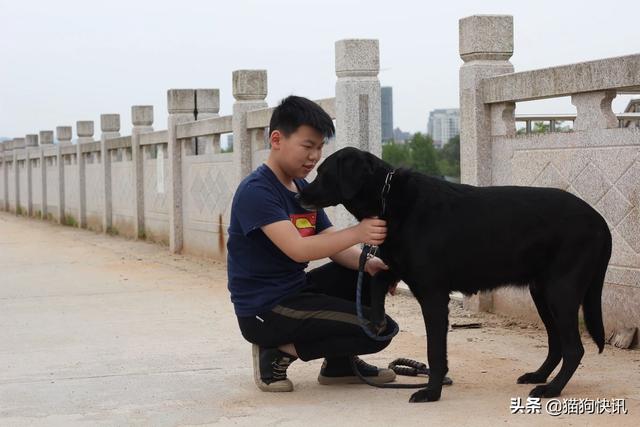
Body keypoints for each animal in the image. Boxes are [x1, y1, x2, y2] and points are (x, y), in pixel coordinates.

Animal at [298, 147, 612, 404]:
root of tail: (600, 220)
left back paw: (552, 389)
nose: (299, 196)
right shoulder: (397, 267)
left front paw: (432, 392)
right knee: (557, 344)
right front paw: (376, 318)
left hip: (560, 292)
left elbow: (435, 351)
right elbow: (376, 278)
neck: (388, 199)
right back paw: (539, 376)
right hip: (543, 292)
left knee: (574, 349)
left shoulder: (433, 296)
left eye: (323, 172)